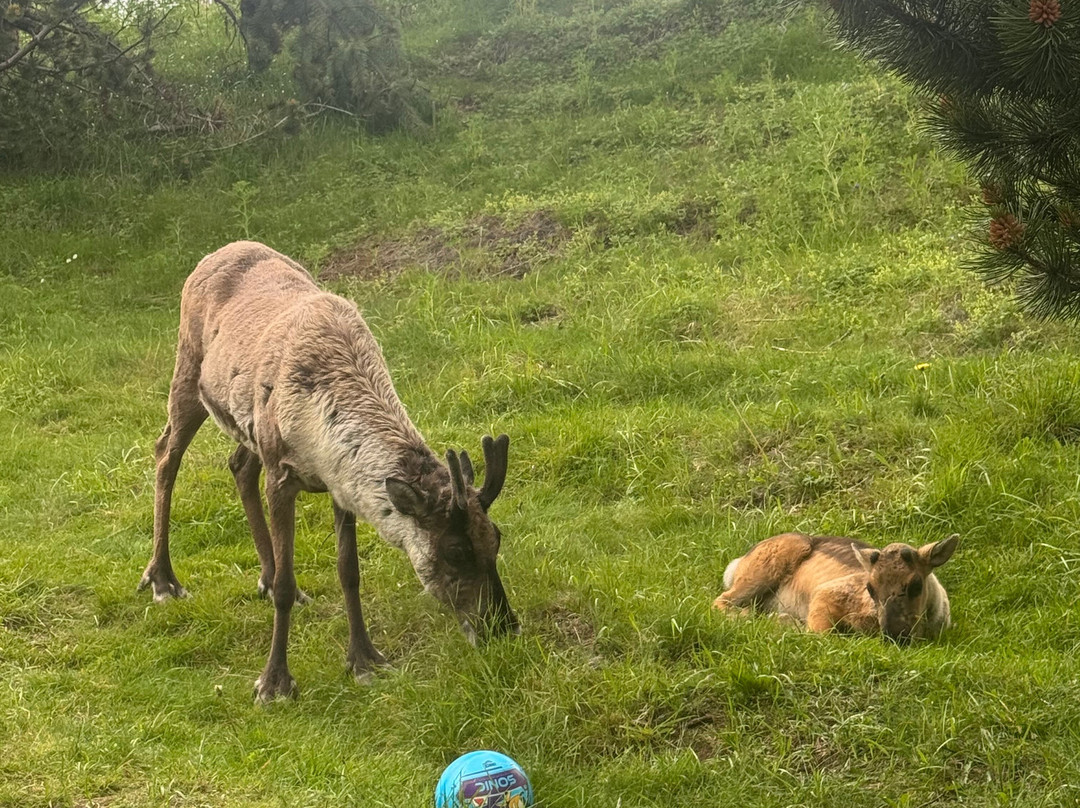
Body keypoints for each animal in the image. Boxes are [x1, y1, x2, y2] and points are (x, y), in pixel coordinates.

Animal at [138, 241, 519, 703]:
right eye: (456, 551)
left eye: (496, 537)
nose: (504, 627)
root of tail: (215, 254)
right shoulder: (282, 475)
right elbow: (289, 585)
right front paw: (274, 682)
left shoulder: (341, 483)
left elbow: (348, 572)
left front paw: (365, 660)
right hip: (188, 373)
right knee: (165, 455)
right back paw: (163, 580)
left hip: (249, 426)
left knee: (239, 466)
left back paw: (264, 577)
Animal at [712, 532, 958, 643]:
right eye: (870, 588)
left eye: (916, 584)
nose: (895, 634)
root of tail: (738, 562)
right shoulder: (825, 592)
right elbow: (820, 633)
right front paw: (784, 622)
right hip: (760, 573)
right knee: (720, 601)